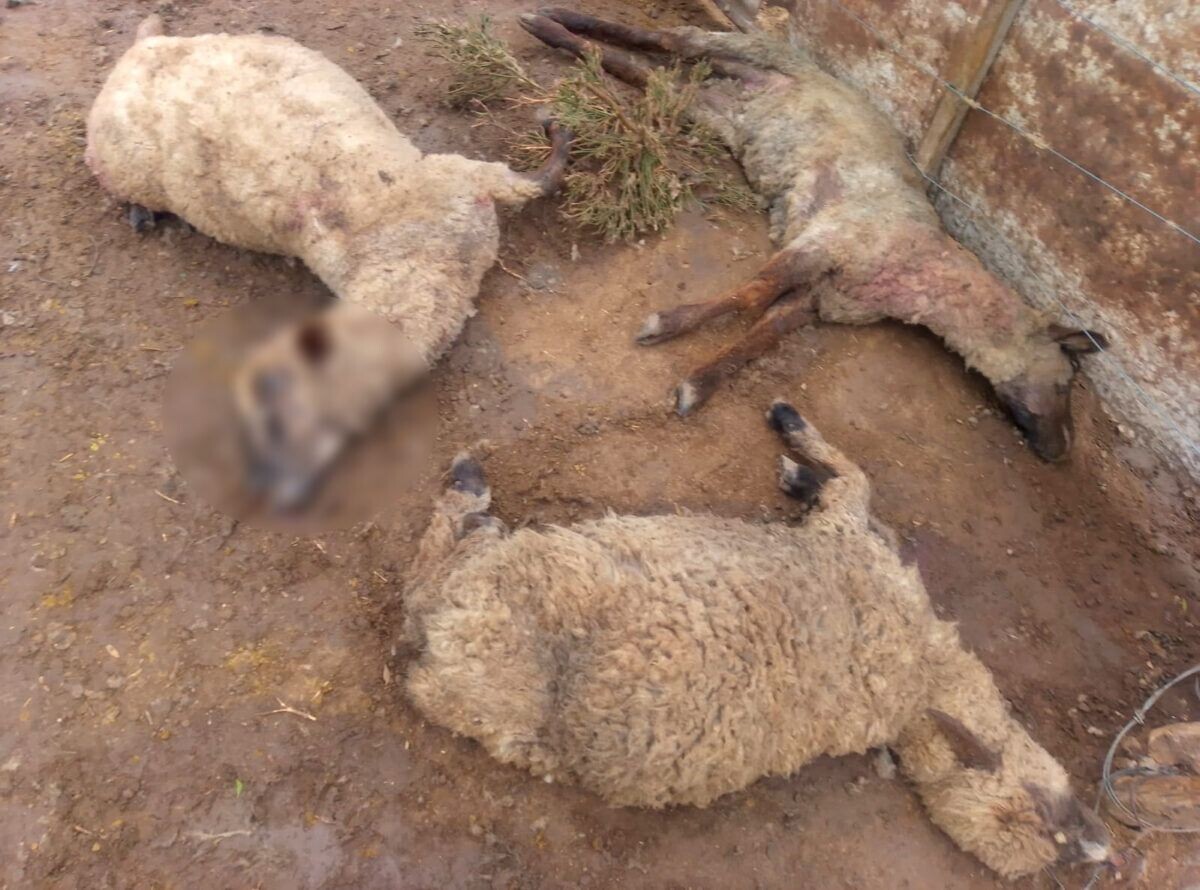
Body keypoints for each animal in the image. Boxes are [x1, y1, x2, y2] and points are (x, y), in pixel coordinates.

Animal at [400, 400, 1112, 879]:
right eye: (1051, 817)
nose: (1101, 845)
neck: (921, 681)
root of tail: (438, 656)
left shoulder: (853, 548)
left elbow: (855, 485)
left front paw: (799, 454)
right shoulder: (854, 547)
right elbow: (857, 483)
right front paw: (799, 456)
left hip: (507, 598)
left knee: (431, 574)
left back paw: (467, 494)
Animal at [520, 9, 1108, 462]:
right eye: (1065, 381)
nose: (1060, 452)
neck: (924, 276)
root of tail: (755, 85)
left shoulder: (821, 298)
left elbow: (764, 331)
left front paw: (698, 385)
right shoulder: (826, 242)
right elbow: (751, 295)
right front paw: (665, 325)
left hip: (724, 112)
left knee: (657, 73)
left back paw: (561, 31)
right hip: (755, 50)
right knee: (673, 42)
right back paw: (549, 22)